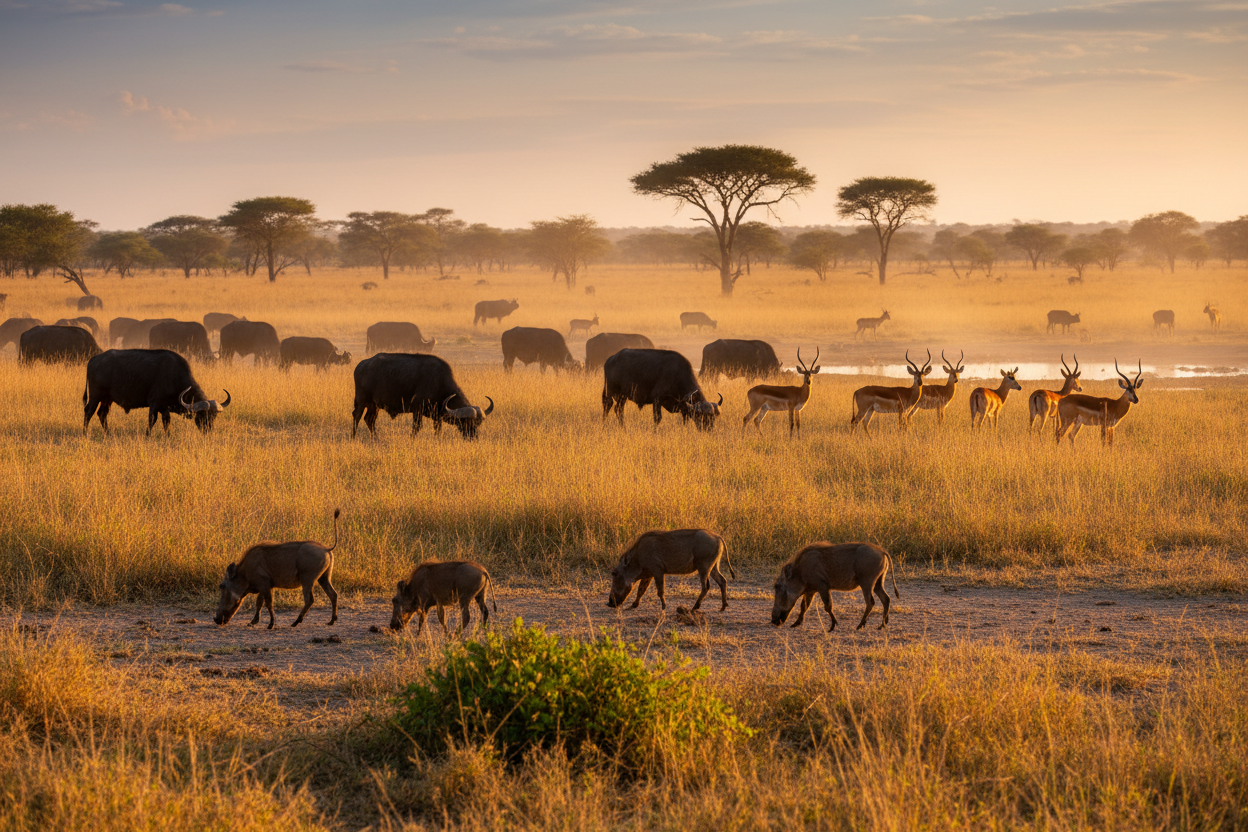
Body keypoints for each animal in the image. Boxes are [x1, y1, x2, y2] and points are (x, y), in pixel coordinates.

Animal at [83, 349, 231, 435]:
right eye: (202, 415)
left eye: (214, 416)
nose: (208, 431)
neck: (174, 376)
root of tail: (93, 359)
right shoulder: (154, 404)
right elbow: (152, 420)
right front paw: (147, 435)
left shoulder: (164, 407)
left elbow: (166, 421)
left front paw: (168, 435)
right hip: (95, 396)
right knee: (89, 411)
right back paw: (85, 432)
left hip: (107, 399)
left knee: (102, 414)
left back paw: (108, 433)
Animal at [352, 353, 494, 440]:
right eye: (466, 422)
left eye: (478, 423)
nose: (473, 437)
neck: (439, 383)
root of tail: (361, 365)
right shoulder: (417, 410)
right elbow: (417, 427)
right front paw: (412, 439)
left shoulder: (437, 415)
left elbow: (438, 429)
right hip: (361, 400)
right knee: (357, 416)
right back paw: (354, 437)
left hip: (374, 405)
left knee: (369, 420)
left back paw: (375, 438)